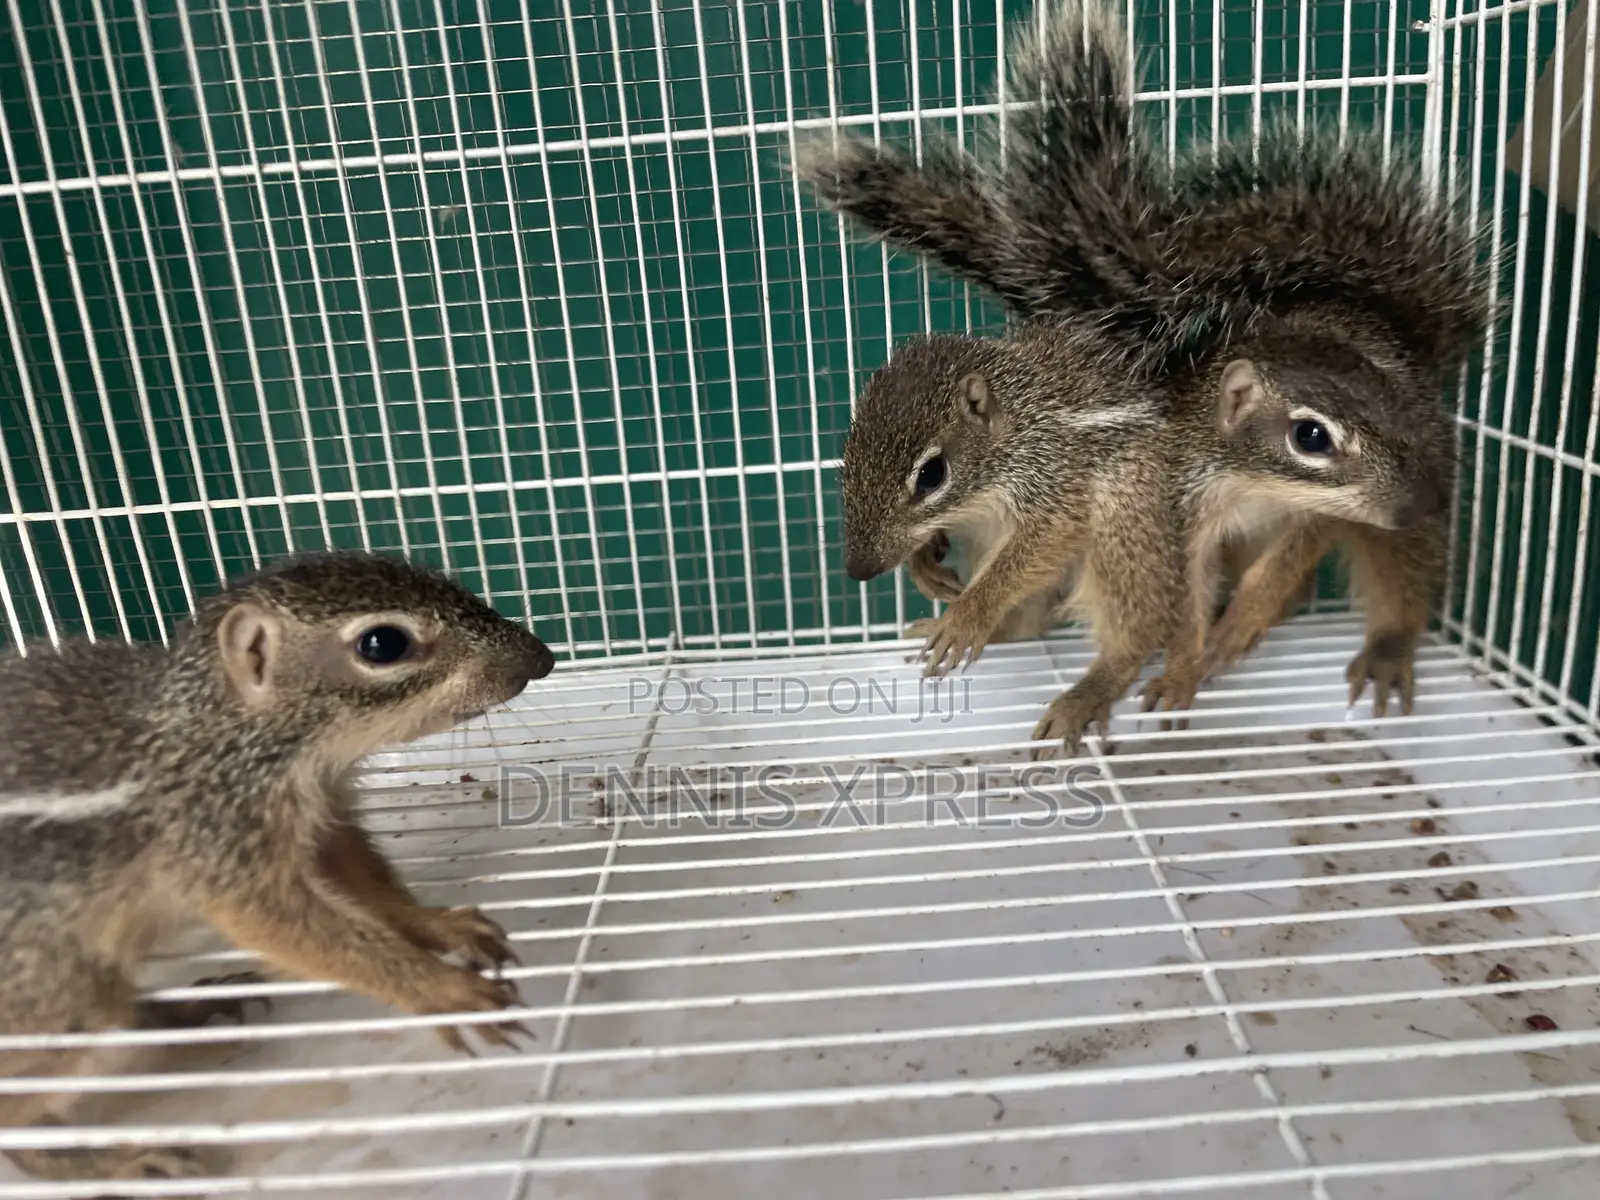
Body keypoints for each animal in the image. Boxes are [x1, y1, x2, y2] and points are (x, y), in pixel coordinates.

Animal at [0, 549, 553, 1187]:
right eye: (383, 643)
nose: (543, 657)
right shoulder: (223, 847)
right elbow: (301, 932)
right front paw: (441, 989)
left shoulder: (324, 820)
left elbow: (372, 888)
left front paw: (441, 925)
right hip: (58, 999)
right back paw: (117, 1162)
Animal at [795, 0, 1492, 752]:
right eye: (845, 452)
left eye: (932, 474)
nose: (859, 570)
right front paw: (929, 563)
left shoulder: (1062, 488)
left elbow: (1041, 551)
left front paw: (971, 613)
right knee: (1046, 621)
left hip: (1135, 520)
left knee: (1147, 625)